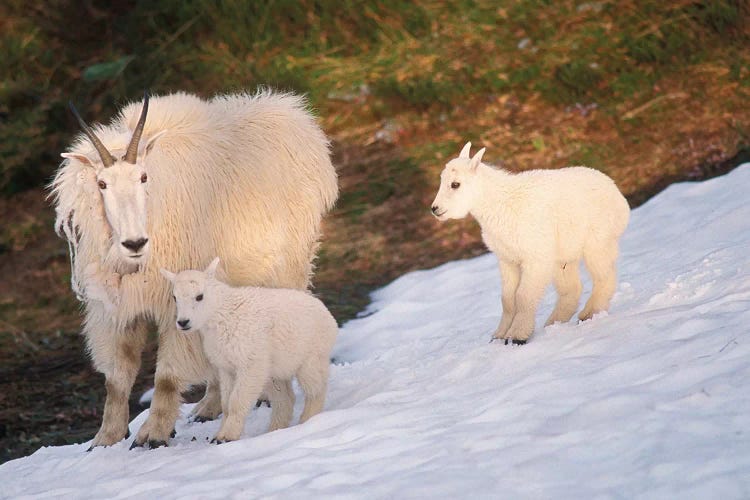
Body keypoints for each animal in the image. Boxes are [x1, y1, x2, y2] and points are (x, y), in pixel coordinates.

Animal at [161, 258, 338, 442]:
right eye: (175, 297)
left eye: (199, 296)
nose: (183, 322)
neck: (221, 315)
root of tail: (329, 317)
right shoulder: (226, 367)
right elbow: (226, 403)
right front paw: (218, 435)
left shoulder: (250, 362)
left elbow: (236, 401)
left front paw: (227, 436)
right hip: (275, 370)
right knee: (285, 397)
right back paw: (274, 430)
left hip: (311, 357)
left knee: (315, 389)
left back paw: (308, 420)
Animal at [432, 142, 632, 344]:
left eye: (455, 184)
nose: (435, 209)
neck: (499, 205)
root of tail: (618, 196)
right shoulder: (507, 259)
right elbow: (507, 299)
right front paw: (499, 335)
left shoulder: (534, 257)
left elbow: (523, 296)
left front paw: (517, 336)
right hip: (562, 257)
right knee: (572, 288)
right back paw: (553, 323)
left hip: (598, 242)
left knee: (604, 276)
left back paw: (588, 314)